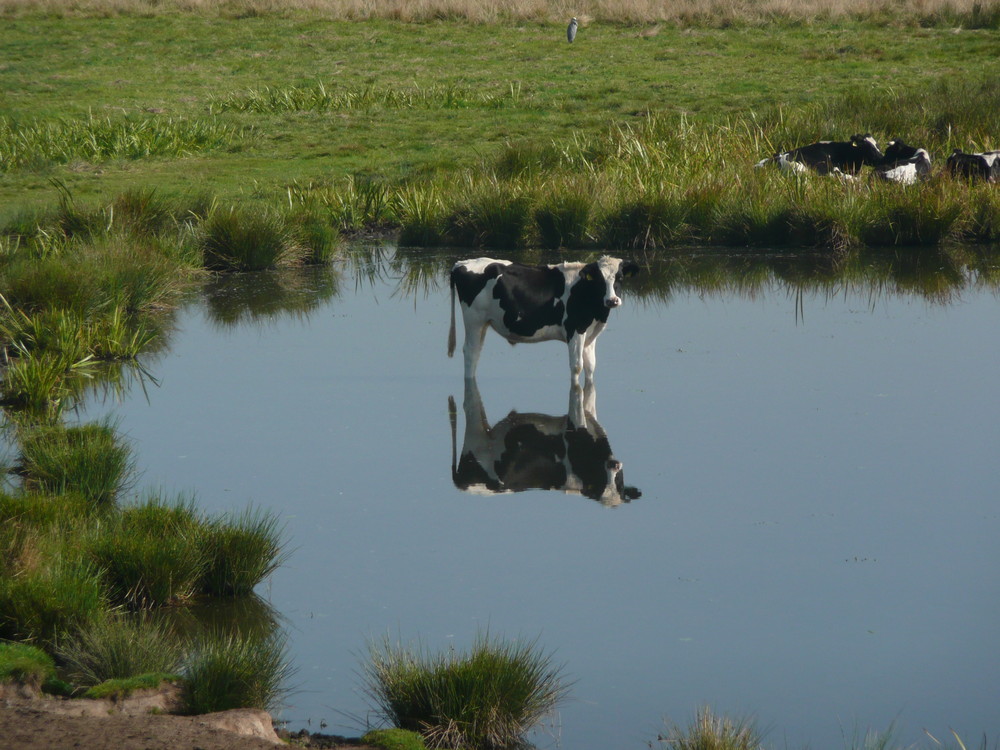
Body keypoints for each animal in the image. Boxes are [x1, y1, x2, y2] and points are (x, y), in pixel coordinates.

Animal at [448, 258, 640, 388]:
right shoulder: (575, 328)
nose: (612, 300)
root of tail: (461, 263)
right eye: (600, 280)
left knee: (477, 352)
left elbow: (591, 366)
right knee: (471, 352)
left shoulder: (590, 333)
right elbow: (577, 366)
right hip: (473, 320)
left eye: (620, 278)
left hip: (482, 324)